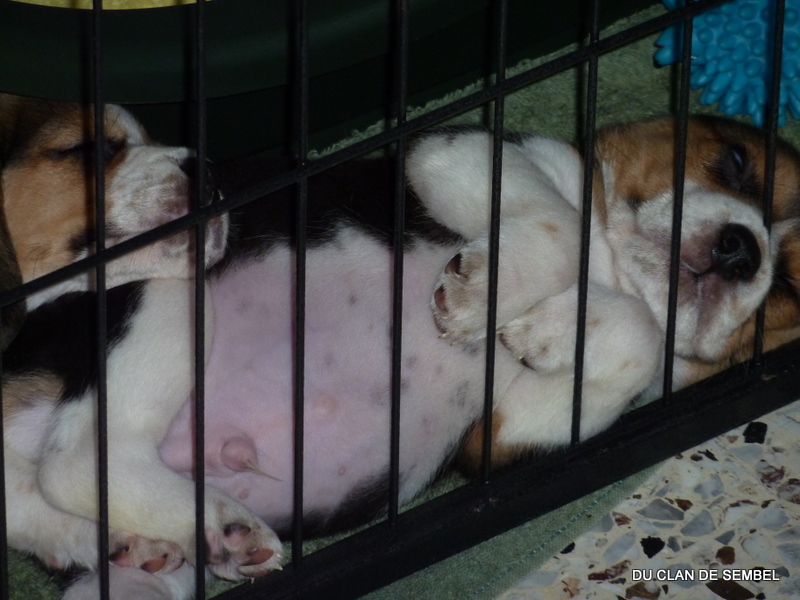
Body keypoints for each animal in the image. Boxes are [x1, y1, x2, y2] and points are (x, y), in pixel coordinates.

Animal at [3, 91, 800, 599]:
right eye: (734, 161)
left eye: (790, 282)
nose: (742, 251)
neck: (614, 268)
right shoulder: (458, 153)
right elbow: (565, 226)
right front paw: (488, 297)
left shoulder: (501, 434)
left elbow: (637, 333)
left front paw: (544, 326)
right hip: (168, 288)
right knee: (77, 459)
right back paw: (218, 523)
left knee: (47, 498)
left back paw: (163, 538)